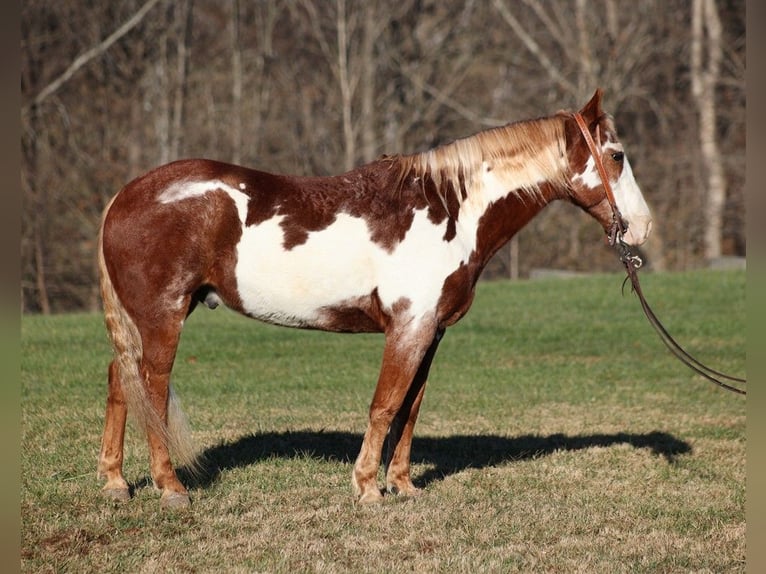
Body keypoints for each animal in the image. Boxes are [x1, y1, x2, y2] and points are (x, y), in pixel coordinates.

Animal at [97, 89, 656, 508]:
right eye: (617, 155)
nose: (643, 226)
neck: (450, 209)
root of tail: (124, 195)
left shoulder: (432, 331)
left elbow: (411, 408)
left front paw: (403, 485)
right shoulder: (409, 327)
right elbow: (385, 406)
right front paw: (367, 488)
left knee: (120, 380)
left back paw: (116, 483)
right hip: (164, 317)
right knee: (151, 387)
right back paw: (171, 489)